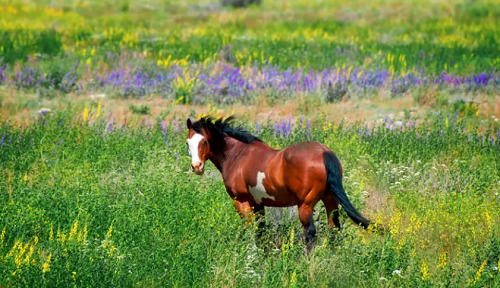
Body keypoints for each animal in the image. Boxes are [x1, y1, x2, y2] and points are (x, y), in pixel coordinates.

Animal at [185, 116, 372, 251]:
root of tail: (324, 152)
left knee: (310, 232)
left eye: (204, 141)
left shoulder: (241, 201)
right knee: (334, 228)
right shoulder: (258, 204)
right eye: (188, 142)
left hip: (305, 205)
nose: (196, 166)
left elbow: (249, 229)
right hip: (330, 201)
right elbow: (260, 230)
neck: (238, 155)